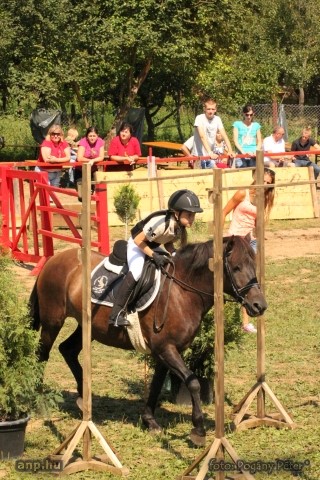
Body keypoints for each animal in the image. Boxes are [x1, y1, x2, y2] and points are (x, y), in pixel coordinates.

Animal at [30, 237, 266, 446]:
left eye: (253, 265)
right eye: (236, 268)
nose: (259, 305)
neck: (182, 291)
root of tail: (53, 259)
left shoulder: (164, 351)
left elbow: (156, 384)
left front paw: (149, 421)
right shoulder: (166, 348)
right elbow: (193, 382)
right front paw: (198, 430)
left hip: (88, 328)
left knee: (67, 350)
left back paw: (82, 397)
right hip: (53, 322)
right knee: (42, 355)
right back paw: (39, 400)